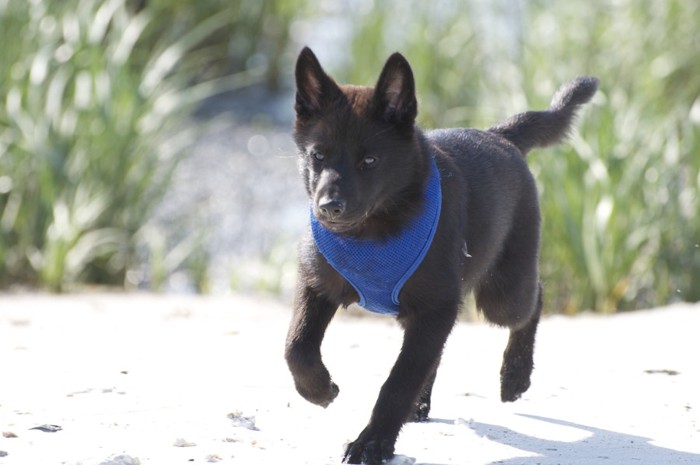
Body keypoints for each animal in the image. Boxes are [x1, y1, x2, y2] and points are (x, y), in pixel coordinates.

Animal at [288, 45, 600, 462]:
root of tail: (499, 136)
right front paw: (320, 390)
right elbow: (297, 347)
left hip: (501, 294)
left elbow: (399, 380)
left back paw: (515, 376)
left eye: (370, 160)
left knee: (533, 300)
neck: (371, 233)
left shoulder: (436, 306)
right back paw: (422, 404)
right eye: (318, 156)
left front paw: (372, 442)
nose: (329, 208)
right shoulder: (318, 285)